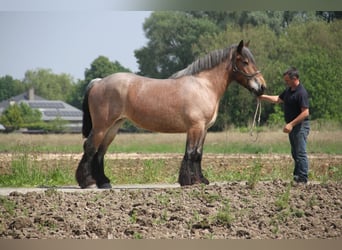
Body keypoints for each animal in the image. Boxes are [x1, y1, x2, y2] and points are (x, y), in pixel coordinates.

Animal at [76, 40, 266, 188]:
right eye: (245, 62)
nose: (262, 87)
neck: (203, 85)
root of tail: (99, 82)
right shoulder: (195, 128)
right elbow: (191, 153)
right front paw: (189, 181)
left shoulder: (204, 129)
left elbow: (198, 154)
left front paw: (201, 180)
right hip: (102, 127)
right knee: (90, 148)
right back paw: (88, 182)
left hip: (113, 127)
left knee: (100, 152)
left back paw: (104, 182)